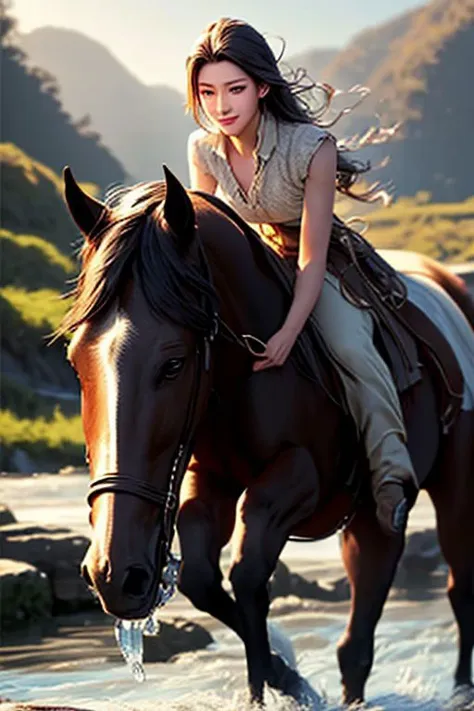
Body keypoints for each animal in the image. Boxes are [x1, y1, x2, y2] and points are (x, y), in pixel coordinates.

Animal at [60, 165, 474, 708]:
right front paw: (284, 677)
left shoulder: (298, 478)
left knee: (457, 583)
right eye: (76, 361)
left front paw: (276, 682)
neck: (245, 372)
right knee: (363, 617)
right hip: (368, 517)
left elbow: (249, 570)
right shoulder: (206, 481)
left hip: (455, 488)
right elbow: (202, 579)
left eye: (173, 363)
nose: (113, 574)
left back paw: (461, 687)